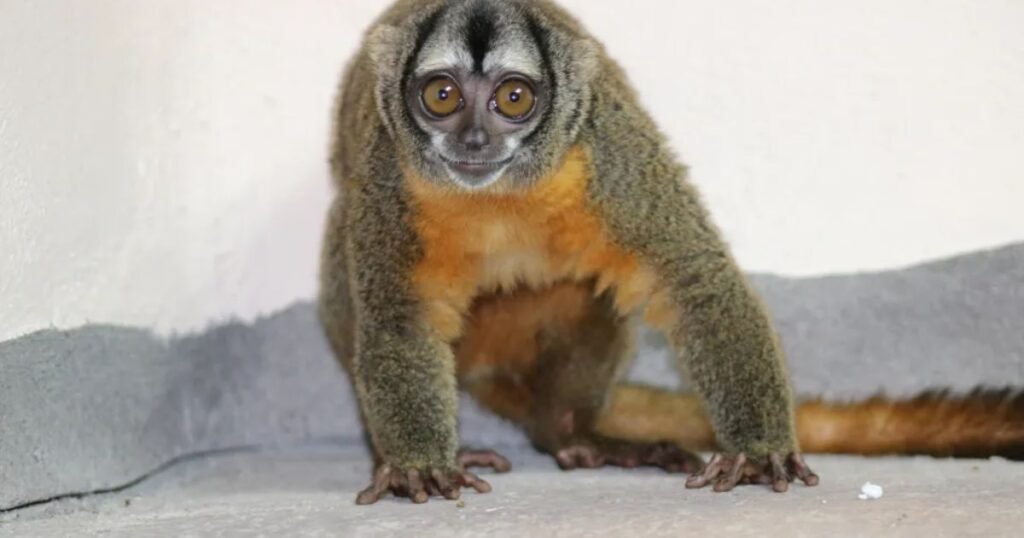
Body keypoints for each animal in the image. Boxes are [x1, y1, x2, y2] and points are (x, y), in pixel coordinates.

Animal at [319, 0, 1023, 505]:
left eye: (512, 98)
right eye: (441, 95)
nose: (472, 140)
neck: (501, 192)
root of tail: (488, 372)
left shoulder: (607, 153)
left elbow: (694, 278)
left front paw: (758, 450)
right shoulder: (388, 174)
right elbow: (395, 319)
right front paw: (417, 466)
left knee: (589, 290)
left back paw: (572, 435)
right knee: (341, 275)